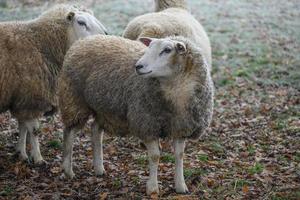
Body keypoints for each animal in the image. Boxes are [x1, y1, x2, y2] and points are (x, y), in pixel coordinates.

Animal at [0, 4, 107, 164]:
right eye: (81, 22)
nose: (104, 36)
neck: (40, 43)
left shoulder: (22, 98)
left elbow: (22, 126)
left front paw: (21, 152)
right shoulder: (30, 97)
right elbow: (34, 130)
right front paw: (38, 158)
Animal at [58, 34, 213, 195]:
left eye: (167, 50)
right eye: (149, 47)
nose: (138, 66)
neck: (175, 90)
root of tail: (86, 39)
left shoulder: (182, 127)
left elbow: (179, 155)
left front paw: (181, 186)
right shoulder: (146, 124)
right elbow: (155, 156)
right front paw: (152, 188)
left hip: (104, 107)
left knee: (95, 130)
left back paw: (99, 168)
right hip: (74, 99)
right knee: (69, 132)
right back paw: (68, 170)